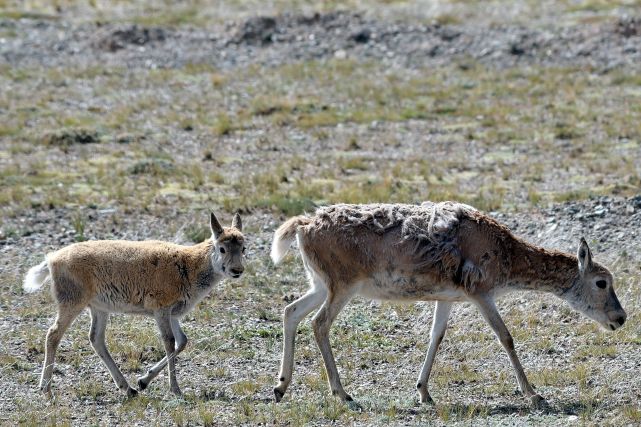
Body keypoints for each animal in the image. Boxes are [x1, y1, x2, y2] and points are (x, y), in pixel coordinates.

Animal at [23, 213, 245, 398]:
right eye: (222, 248)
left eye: (243, 248)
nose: (237, 270)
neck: (189, 265)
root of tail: (51, 260)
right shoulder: (161, 310)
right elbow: (169, 342)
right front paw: (175, 389)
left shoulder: (172, 314)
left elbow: (182, 341)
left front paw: (142, 381)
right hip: (72, 303)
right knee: (53, 334)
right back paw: (46, 388)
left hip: (99, 309)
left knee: (96, 339)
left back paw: (128, 388)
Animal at [270, 202, 624, 410]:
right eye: (602, 282)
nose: (620, 317)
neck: (507, 258)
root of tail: (301, 226)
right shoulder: (480, 291)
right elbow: (506, 337)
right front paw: (534, 394)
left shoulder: (447, 297)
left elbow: (436, 336)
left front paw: (423, 391)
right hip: (342, 284)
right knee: (319, 323)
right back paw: (342, 393)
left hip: (320, 283)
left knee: (291, 312)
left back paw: (280, 387)